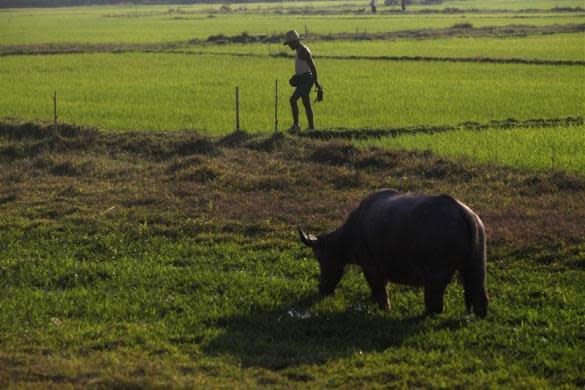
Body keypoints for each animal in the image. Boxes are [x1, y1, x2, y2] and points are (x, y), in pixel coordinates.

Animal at [298, 190, 486, 320]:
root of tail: (463, 212)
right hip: (476, 265)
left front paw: (384, 310)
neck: (353, 231)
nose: (321, 289)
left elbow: (380, 291)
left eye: (320, 258)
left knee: (435, 303)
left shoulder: (371, 267)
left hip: (435, 274)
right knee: (479, 294)